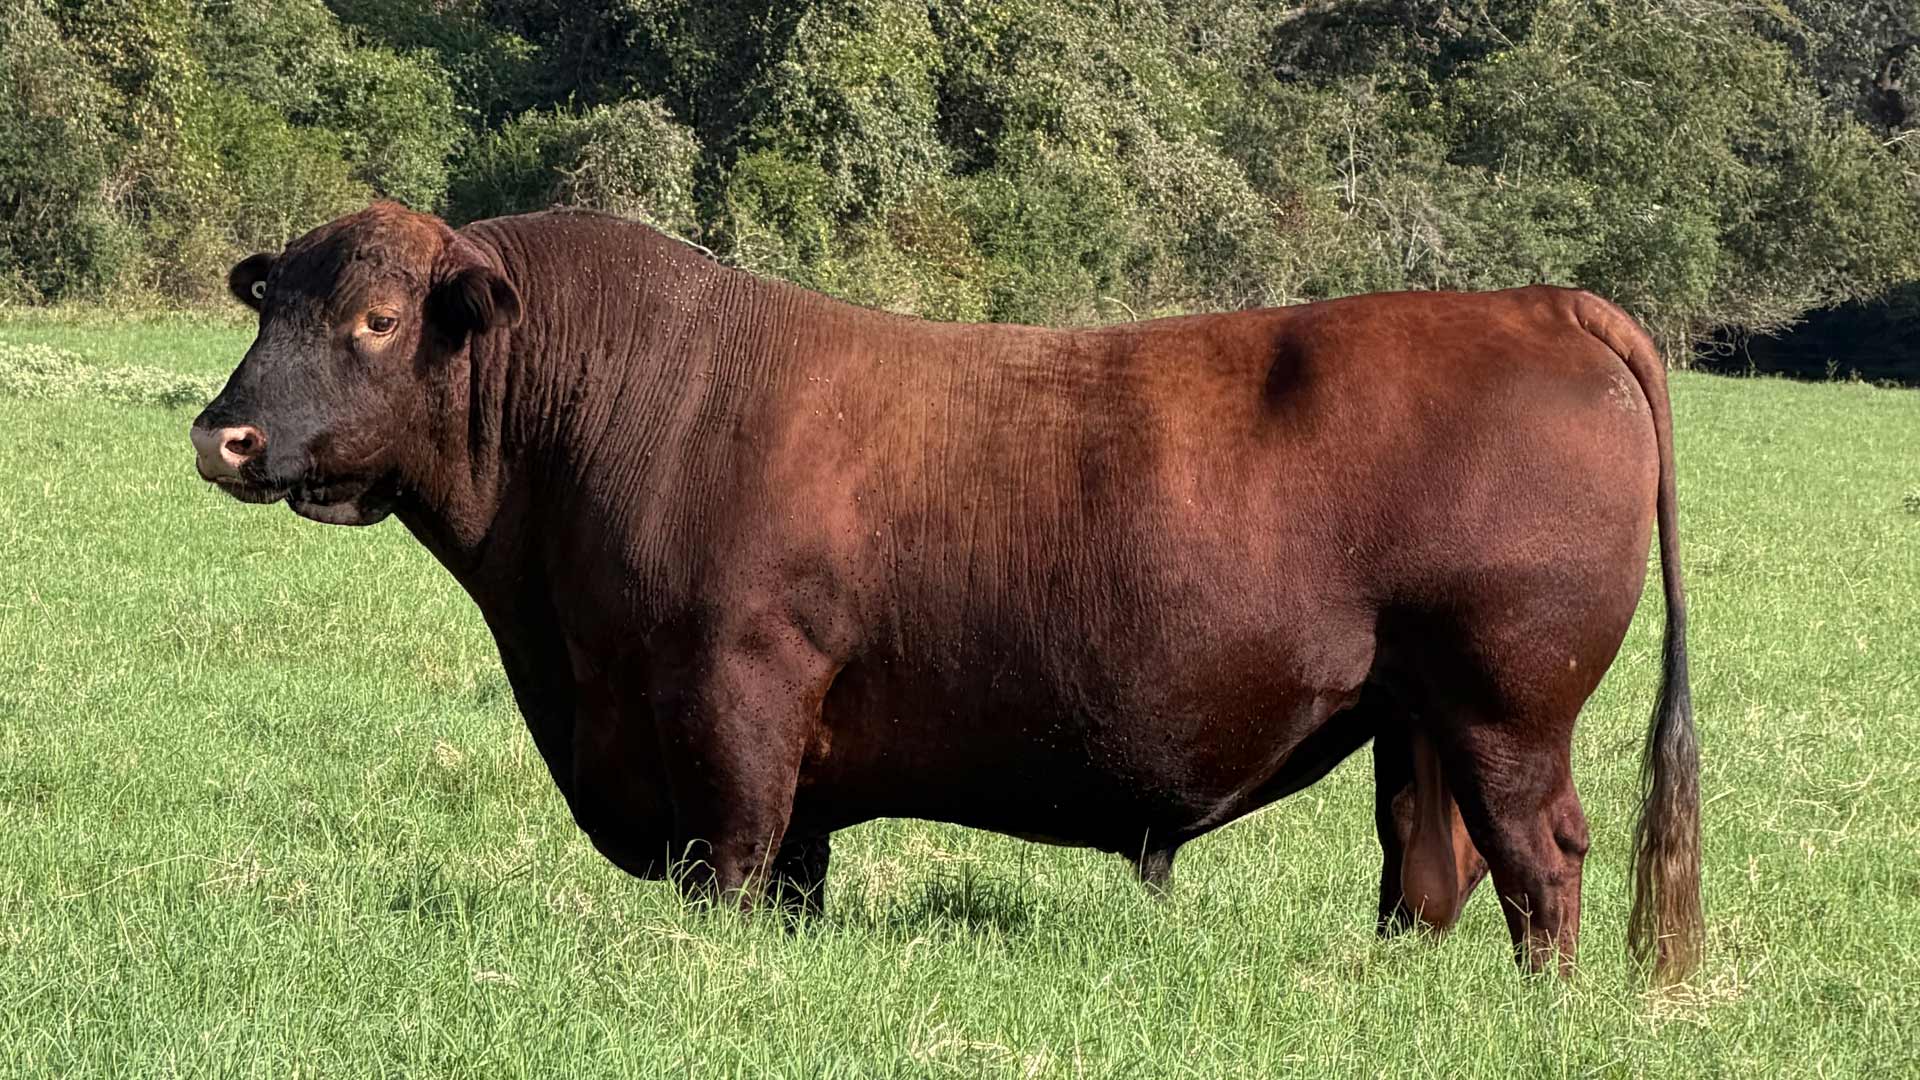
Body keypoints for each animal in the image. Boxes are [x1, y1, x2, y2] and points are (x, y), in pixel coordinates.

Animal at [190, 203, 1701, 981]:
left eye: (377, 318)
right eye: (268, 305)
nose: (226, 434)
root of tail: (1541, 302)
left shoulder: (737, 695)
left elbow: (734, 863)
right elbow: (792, 876)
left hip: (1508, 702)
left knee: (1542, 857)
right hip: (1416, 711)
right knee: (1425, 863)